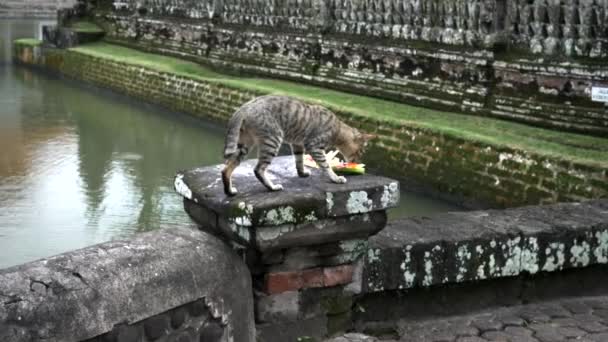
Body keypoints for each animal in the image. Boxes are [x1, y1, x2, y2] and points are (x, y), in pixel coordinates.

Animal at [221, 94, 372, 195]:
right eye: (361, 152)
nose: (358, 161)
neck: (337, 129)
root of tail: (245, 106)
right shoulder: (314, 146)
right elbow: (326, 165)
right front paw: (335, 178)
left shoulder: (298, 144)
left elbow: (299, 161)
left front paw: (302, 173)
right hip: (273, 140)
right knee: (258, 169)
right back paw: (272, 187)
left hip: (244, 144)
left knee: (226, 169)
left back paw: (229, 191)